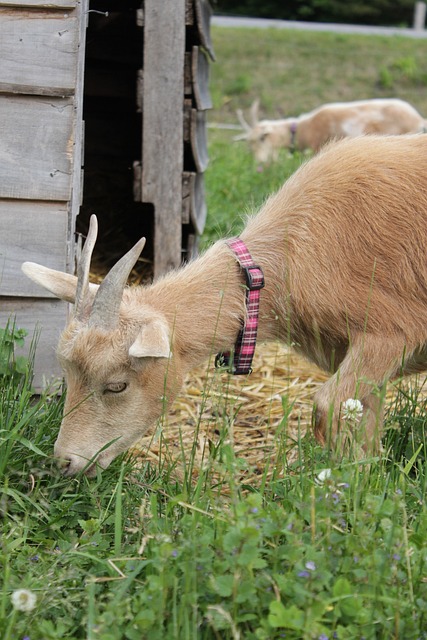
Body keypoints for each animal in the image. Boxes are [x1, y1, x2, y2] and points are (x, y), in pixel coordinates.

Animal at [21, 134, 427, 476]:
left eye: (117, 386)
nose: (64, 462)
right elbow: (366, 420)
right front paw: (370, 475)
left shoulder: (389, 334)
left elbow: (329, 405)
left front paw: (353, 488)